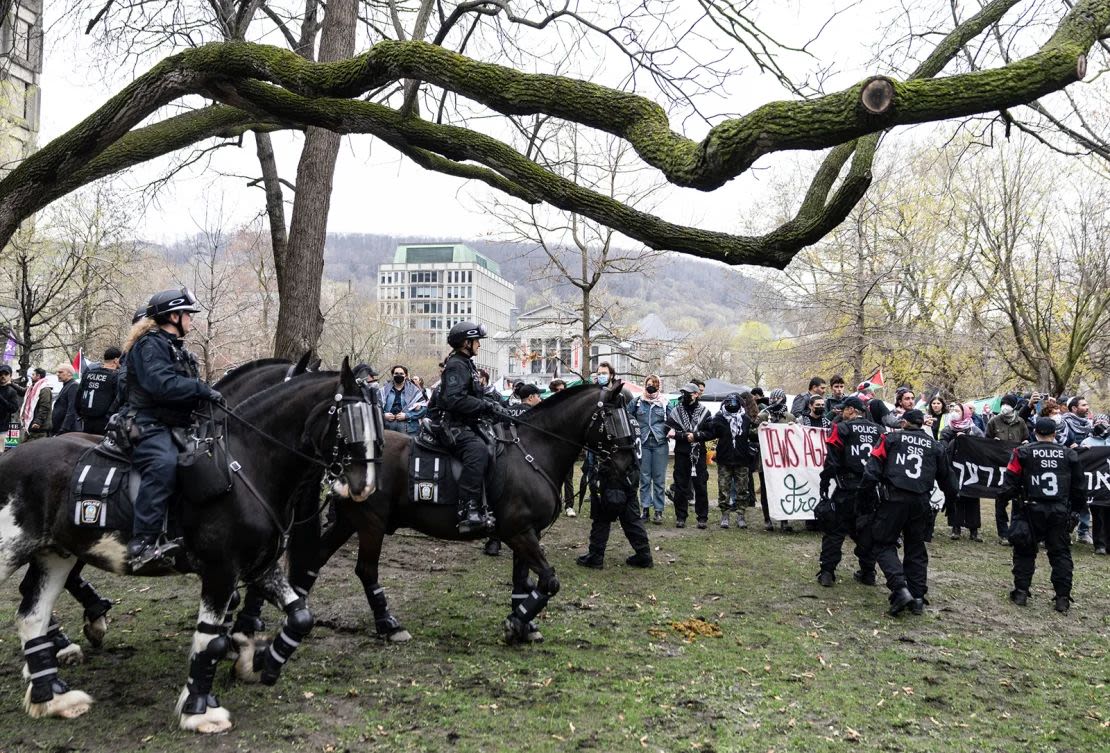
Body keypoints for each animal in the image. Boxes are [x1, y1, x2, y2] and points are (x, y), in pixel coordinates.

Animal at [0, 362, 377, 733]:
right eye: (350, 421)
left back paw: (52, 695)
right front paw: (199, 710)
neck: (244, 464)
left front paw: (262, 662)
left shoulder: (258, 566)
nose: (364, 486)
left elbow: (300, 617)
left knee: (32, 616)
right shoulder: (221, 570)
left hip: (56, 555)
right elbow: (211, 638)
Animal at [273, 379, 639, 644]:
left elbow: (522, 582)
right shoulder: (519, 533)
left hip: (350, 521)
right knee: (366, 571)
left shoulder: (524, 534)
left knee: (315, 559)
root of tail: (342, 456)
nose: (629, 464)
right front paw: (515, 622)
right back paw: (388, 624)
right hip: (371, 524)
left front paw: (523, 624)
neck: (533, 452)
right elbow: (549, 582)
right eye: (613, 417)